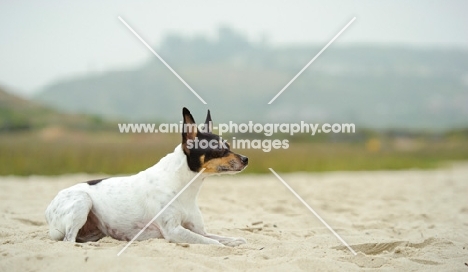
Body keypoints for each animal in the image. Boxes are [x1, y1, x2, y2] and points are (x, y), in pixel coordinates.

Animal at [45, 108, 247, 246]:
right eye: (220, 150)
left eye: (229, 146)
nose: (246, 159)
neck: (185, 187)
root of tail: (49, 207)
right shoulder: (174, 231)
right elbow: (215, 243)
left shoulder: (198, 230)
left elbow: (223, 239)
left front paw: (235, 240)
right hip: (82, 201)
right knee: (68, 241)